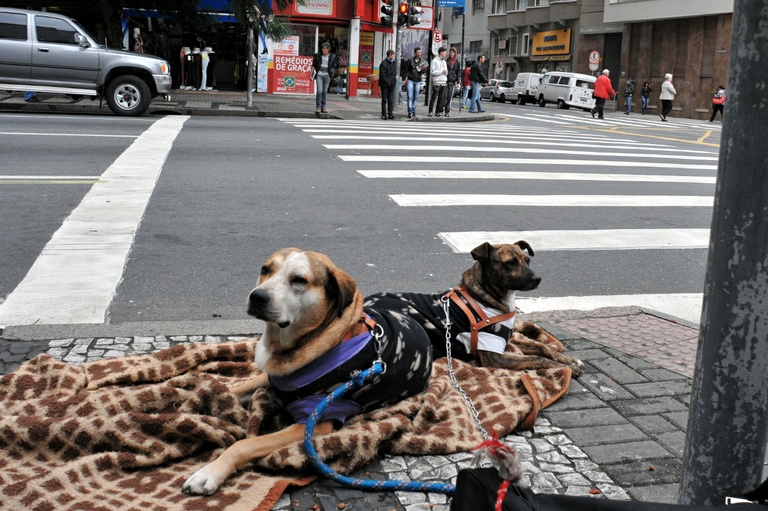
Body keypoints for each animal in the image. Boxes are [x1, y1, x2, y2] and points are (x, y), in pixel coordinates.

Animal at [182, 248, 432, 496]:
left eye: (299, 280)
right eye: (265, 269)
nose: (257, 296)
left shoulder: (312, 424)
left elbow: (246, 444)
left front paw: (209, 473)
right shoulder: (271, 381)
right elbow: (231, 390)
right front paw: (191, 401)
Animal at [364, 242, 584, 378]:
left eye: (527, 260)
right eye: (510, 263)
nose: (537, 279)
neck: (487, 296)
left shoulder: (504, 342)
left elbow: (542, 347)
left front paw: (568, 360)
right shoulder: (495, 357)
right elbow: (536, 358)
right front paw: (567, 368)